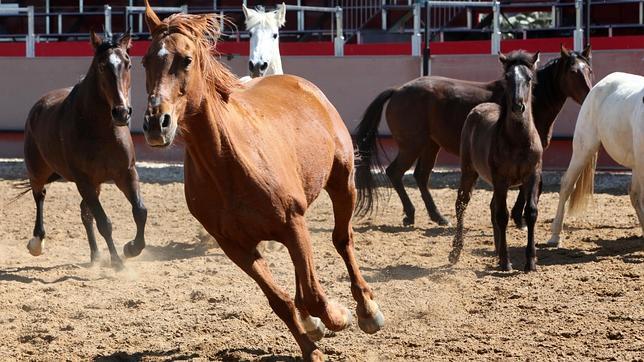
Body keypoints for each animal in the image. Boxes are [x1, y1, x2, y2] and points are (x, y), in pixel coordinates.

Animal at [23, 31, 147, 268]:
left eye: (128, 64)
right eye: (101, 66)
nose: (121, 112)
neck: (101, 130)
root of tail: (37, 107)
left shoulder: (126, 173)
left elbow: (140, 211)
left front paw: (131, 248)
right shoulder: (84, 181)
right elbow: (104, 222)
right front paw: (117, 261)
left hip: (96, 183)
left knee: (84, 212)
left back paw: (96, 255)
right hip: (38, 171)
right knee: (39, 195)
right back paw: (37, 242)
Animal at [140, 2, 382, 360]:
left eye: (185, 59)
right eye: (145, 61)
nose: (157, 123)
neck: (227, 164)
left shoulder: (293, 223)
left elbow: (313, 293)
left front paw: (338, 315)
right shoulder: (236, 246)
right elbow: (280, 301)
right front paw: (311, 345)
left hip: (342, 182)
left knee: (342, 239)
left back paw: (366, 309)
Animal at [354, 44, 592, 226]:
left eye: (589, 70)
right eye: (573, 72)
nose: (590, 94)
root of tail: (398, 90)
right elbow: (529, 187)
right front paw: (519, 217)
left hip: (430, 145)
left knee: (421, 176)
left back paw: (438, 217)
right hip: (411, 145)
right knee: (395, 172)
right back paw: (411, 214)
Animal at [448, 50, 544, 272]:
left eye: (529, 78)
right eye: (507, 77)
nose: (518, 106)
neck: (518, 141)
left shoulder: (532, 175)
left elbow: (531, 212)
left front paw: (530, 262)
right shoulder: (500, 178)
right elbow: (502, 215)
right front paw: (506, 262)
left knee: (492, 206)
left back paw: (497, 250)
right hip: (469, 171)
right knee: (462, 203)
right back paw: (456, 252)